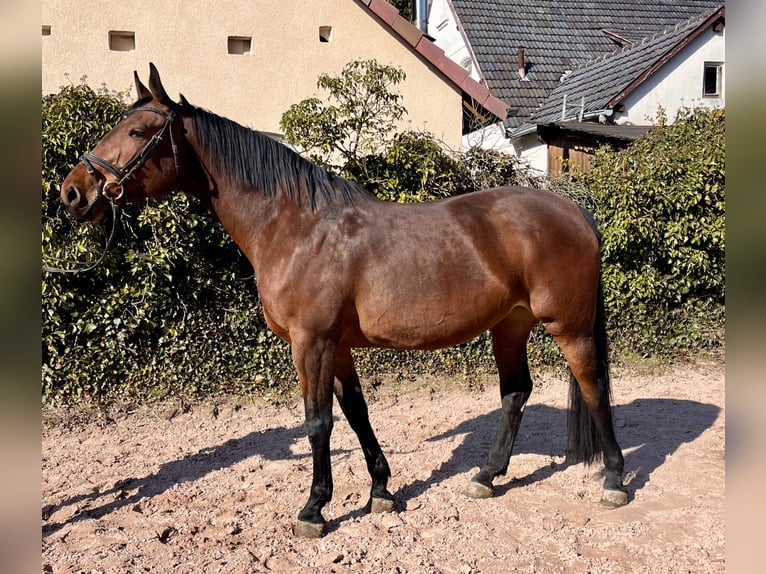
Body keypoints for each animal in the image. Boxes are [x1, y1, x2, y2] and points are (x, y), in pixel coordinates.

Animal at [59, 64, 628, 538]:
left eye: (136, 131)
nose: (72, 191)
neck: (295, 226)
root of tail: (574, 211)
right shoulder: (338, 346)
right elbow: (356, 413)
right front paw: (381, 490)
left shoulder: (311, 342)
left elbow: (318, 423)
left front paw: (314, 508)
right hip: (510, 325)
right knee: (515, 393)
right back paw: (486, 476)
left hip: (569, 327)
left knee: (593, 386)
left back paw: (614, 481)